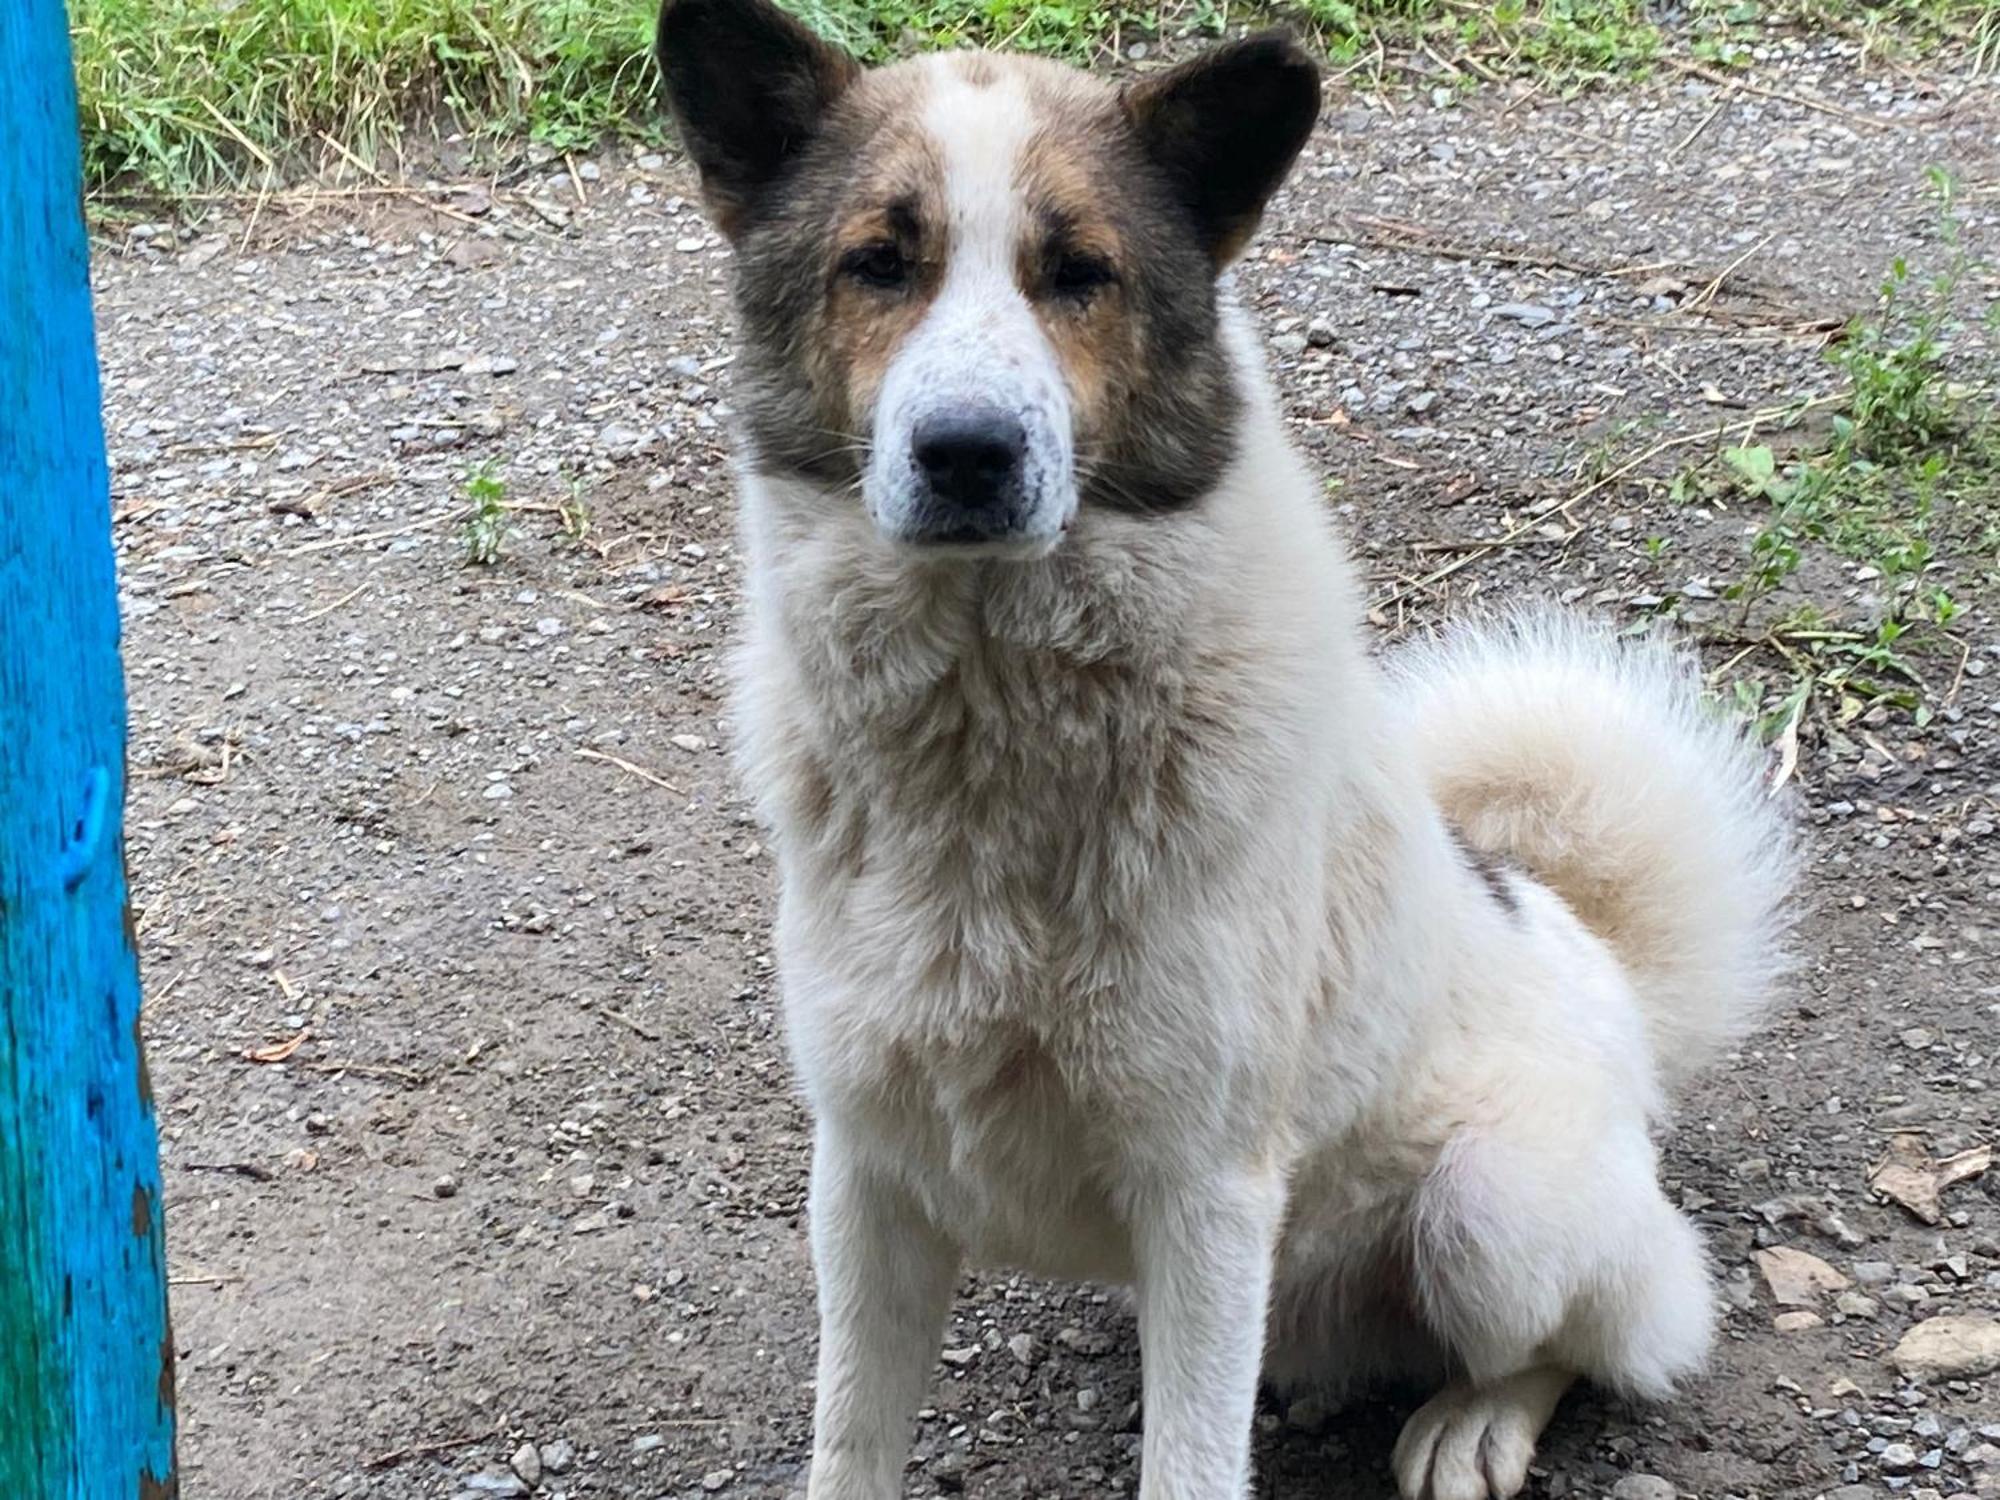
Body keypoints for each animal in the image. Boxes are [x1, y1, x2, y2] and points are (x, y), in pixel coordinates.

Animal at [656, 5, 1800, 1496]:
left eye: (1078, 273)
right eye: (880, 263)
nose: (967, 453)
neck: (993, 727)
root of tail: (1603, 971)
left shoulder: (1203, 1194)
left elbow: (1191, 1466)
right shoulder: (868, 1175)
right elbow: (850, 1441)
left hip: (1487, 1211)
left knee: (1604, 1336)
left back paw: (1476, 1420)